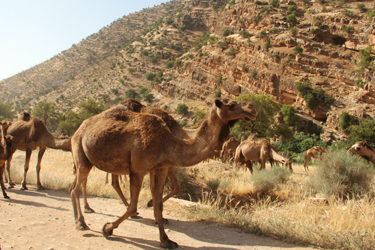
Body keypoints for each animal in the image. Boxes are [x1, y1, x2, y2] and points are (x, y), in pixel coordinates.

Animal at [70, 97, 258, 248]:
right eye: (232, 105)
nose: (252, 108)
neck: (168, 141)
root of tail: (79, 128)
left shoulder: (160, 167)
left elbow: (160, 202)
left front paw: (166, 240)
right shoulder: (138, 169)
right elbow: (133, 206)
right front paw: (107, 228)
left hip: (89, 159)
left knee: (76, 185)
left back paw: (83, 216)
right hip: (81, 152)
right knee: (76, 188)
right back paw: (80, 223)